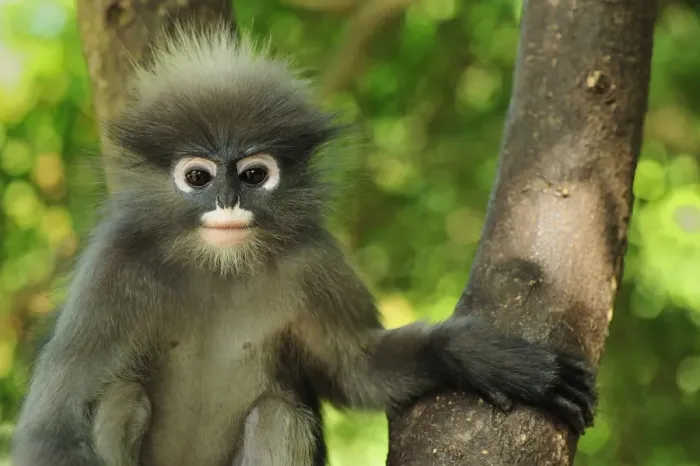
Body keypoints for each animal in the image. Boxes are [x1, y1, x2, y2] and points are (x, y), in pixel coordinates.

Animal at [11, 23, 596, 466]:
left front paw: (482, 357)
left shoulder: (316, 260)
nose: (229, 202)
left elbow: (356, 370)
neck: (219, 267)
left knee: (279, 415)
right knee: (120, 398)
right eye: (198, 177)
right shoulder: (113, 267)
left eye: (253, 174)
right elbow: (51, 427)